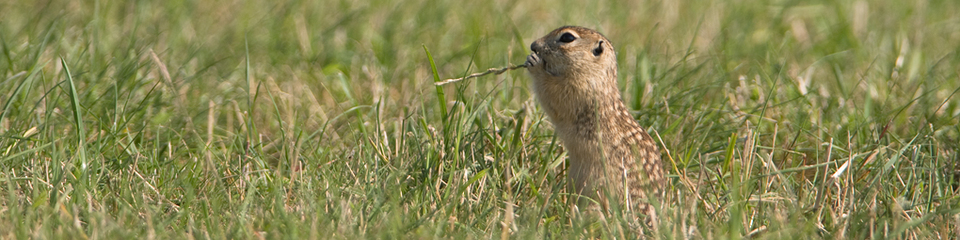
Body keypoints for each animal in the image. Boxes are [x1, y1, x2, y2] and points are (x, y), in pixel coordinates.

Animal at [524, 25, 668, 218]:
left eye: (567, 38)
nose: (533, 45)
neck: (595, 73)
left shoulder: (576, 89)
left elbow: (551, 93)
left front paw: (535, 64)